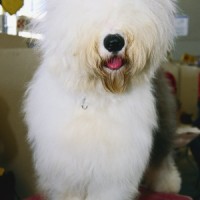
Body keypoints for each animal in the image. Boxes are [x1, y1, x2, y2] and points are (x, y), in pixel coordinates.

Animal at [23, 0, 181, 199]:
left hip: (164, 121)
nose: (114, 42)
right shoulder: (65, 166)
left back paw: (169, 184)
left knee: (162, 156)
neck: (97, 95)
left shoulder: (114, 166)